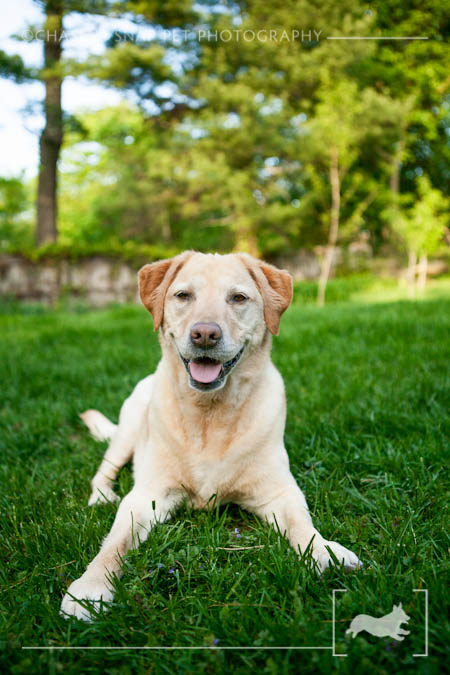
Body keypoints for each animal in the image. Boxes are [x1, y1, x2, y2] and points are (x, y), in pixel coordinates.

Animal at [60, 251, 362, 620]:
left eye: (238, 298)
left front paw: (326, 552)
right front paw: (90, 586)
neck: (210, 415)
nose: (205, 334)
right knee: (104, 470)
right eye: (183, 295)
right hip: (128, 430)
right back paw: (102, 495)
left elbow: (301, 524)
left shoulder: (279, 492)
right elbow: (115, 542)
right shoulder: (148, 496)